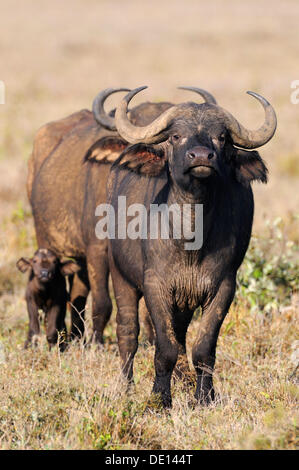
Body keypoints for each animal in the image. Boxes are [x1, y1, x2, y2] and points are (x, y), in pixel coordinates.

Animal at [107, 86, 276, 406]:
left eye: (221, 137)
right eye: (176, 136)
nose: (200, 156)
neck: (190, 241)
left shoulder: (223, 286)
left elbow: (204, 348)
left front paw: (204, 397)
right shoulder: (155, 286)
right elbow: (165, 348)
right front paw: (160, 400)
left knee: (183, 335)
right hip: (120, 276)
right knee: (128, 332)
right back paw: (125, 388)